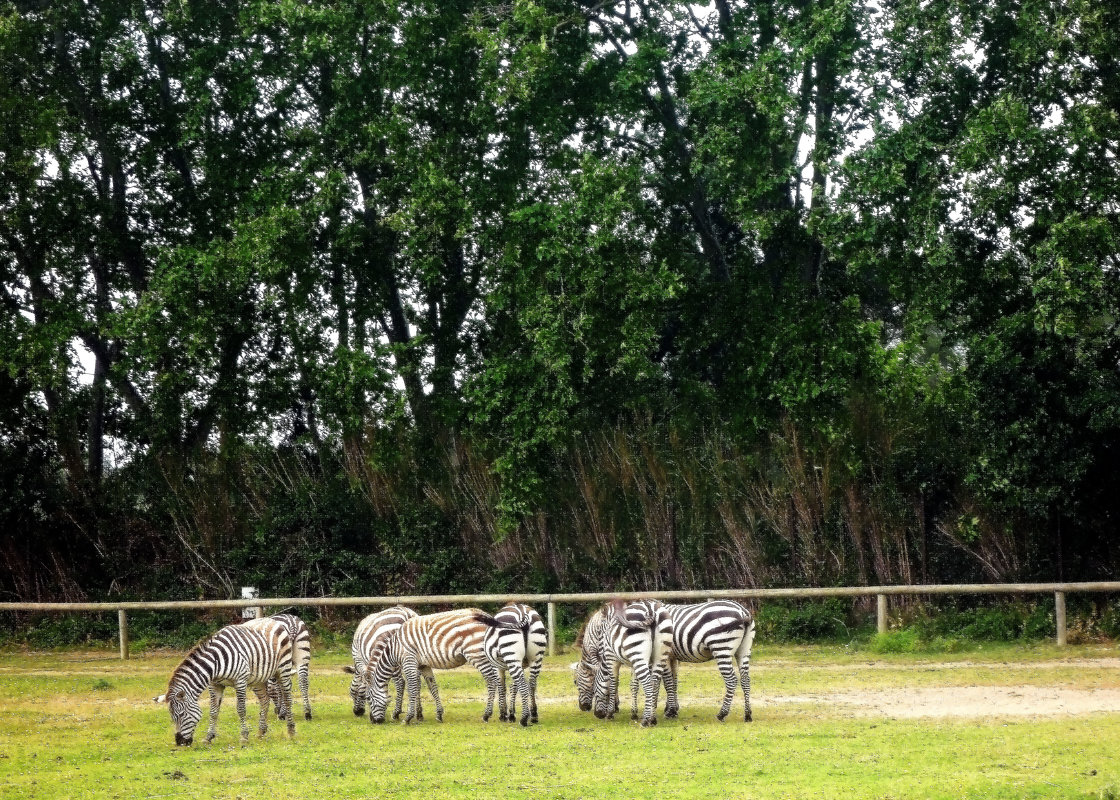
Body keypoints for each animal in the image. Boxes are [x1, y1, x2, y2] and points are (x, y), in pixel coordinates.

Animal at [153, 618, 295, 743]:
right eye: (172, 717)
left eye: (182, 715)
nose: (179, 742)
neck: (216, 662)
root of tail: (272, 621)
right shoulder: (215, 684)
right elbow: (213, 711)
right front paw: (209, 737)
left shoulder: (240, 680)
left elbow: (241, 709)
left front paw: (244, 736)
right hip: (258, 679)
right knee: (265, 700)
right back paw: (261, 731)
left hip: (283, 670)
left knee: (287, 698)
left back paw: (291, 730)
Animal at [362, 609, 528, 726]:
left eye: (368, 698)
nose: (373, 721)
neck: (394, 650)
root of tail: (486, 615)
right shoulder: (423, 665)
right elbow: (432, 686)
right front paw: (439, 714)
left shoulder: (409, 661)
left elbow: (413, 688)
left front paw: (408, 718)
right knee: (503, 680)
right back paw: (505, 714)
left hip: (477, 654)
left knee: (492, 681)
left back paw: (489, 714)